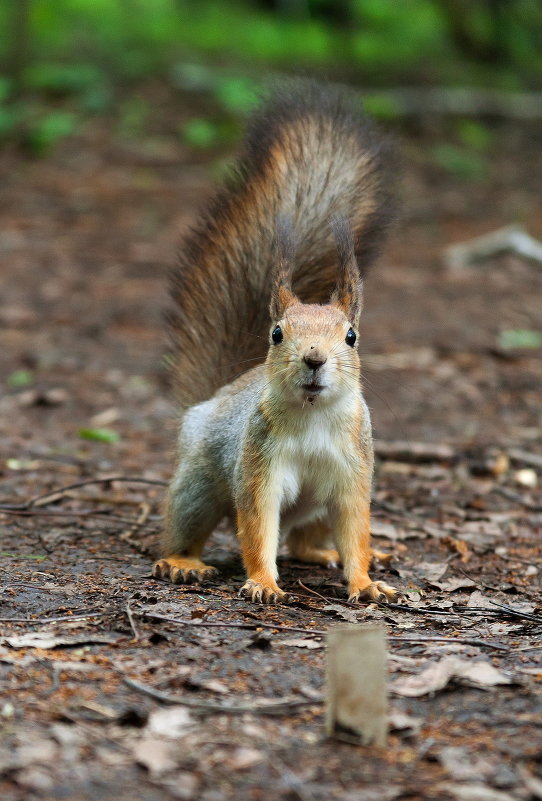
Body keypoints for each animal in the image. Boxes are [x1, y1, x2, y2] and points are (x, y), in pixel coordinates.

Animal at [153, 83, 400, 608]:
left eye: (351, 336)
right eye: (277, 333)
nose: (314, 358)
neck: (312, 416)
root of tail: (219, 393)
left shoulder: (353, 473)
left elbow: (356, 531)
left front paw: (366, 581)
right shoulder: (260, 467)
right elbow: (257, 526)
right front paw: (263, 583)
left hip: (317, 508)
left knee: (304, 539)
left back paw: (326, 554)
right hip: (198, 483)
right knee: (188, 523)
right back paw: (182, 562)